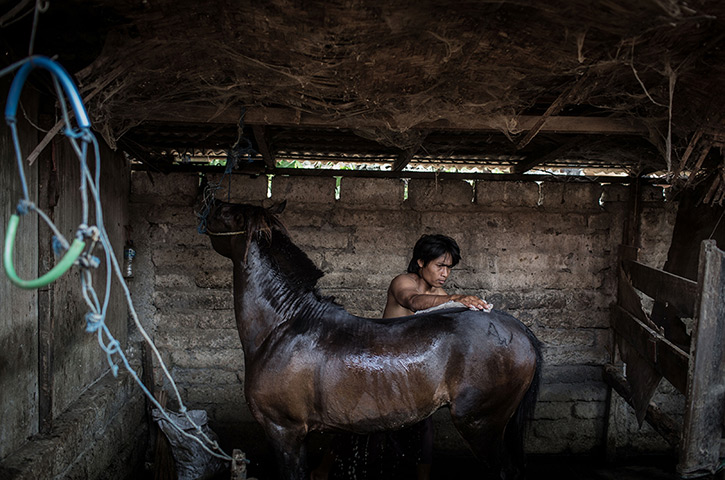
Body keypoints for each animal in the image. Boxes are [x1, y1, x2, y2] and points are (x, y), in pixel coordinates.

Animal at [204, 200, 542, 480]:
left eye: (224, 212)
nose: (209, 203)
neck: (283, 326)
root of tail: (520, 330)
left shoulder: (283, 430)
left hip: (480, 424)